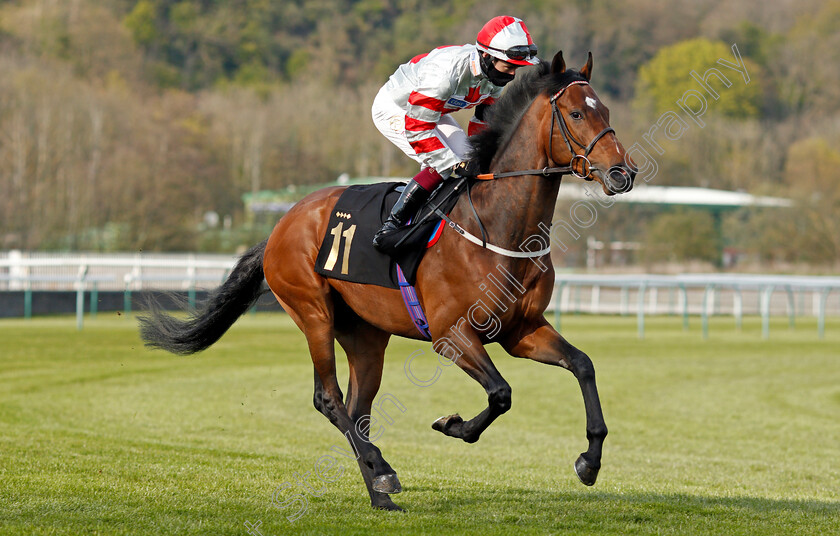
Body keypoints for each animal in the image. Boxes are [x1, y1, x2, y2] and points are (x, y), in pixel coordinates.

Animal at [141, 51, 636, 516]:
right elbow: (501, 394)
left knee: (357, 411)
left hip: (365, 335)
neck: (499, 226)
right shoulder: (452, 334)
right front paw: (452, 425)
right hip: (312, 312)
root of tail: (282, 224)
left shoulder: (522, 330)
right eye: (576, 114)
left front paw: (589, 461)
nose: (622, 173)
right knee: (329, 399)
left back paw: (379, 491)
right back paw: (383, 471)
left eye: (606, 110)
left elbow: (583, 365)